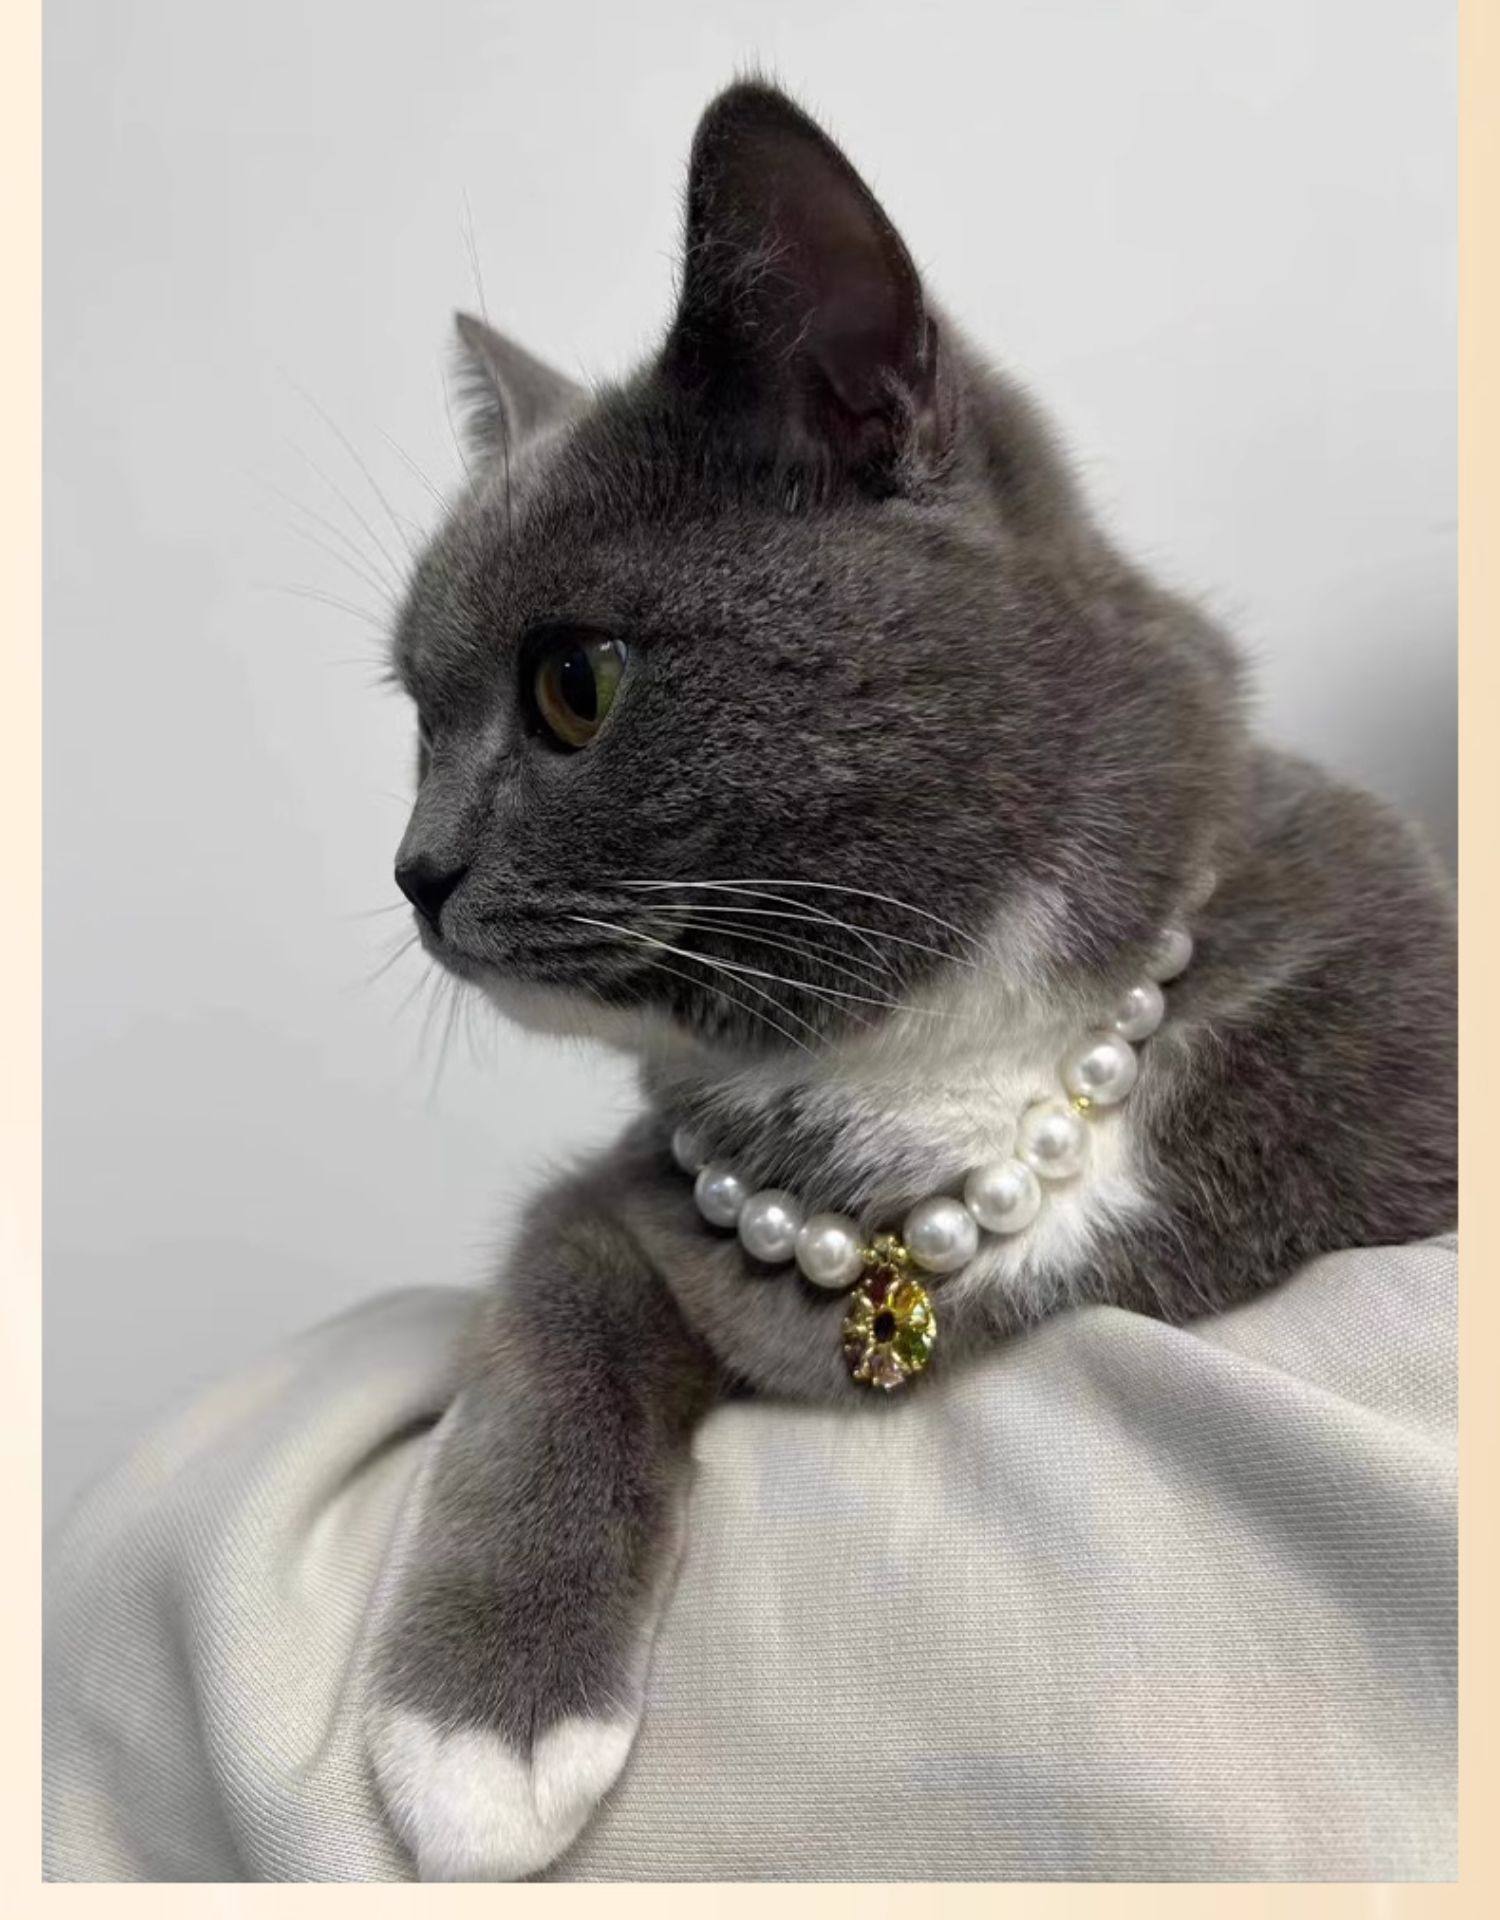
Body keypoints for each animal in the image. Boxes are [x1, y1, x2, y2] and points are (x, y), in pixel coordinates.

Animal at [366, 79, 1455, 1880]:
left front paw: (473, 1742)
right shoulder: (627, 1202)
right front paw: (477, 1732)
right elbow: (554, 1315)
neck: (937, 1058)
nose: (415, 867)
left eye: (573, 684)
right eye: (413, 716)